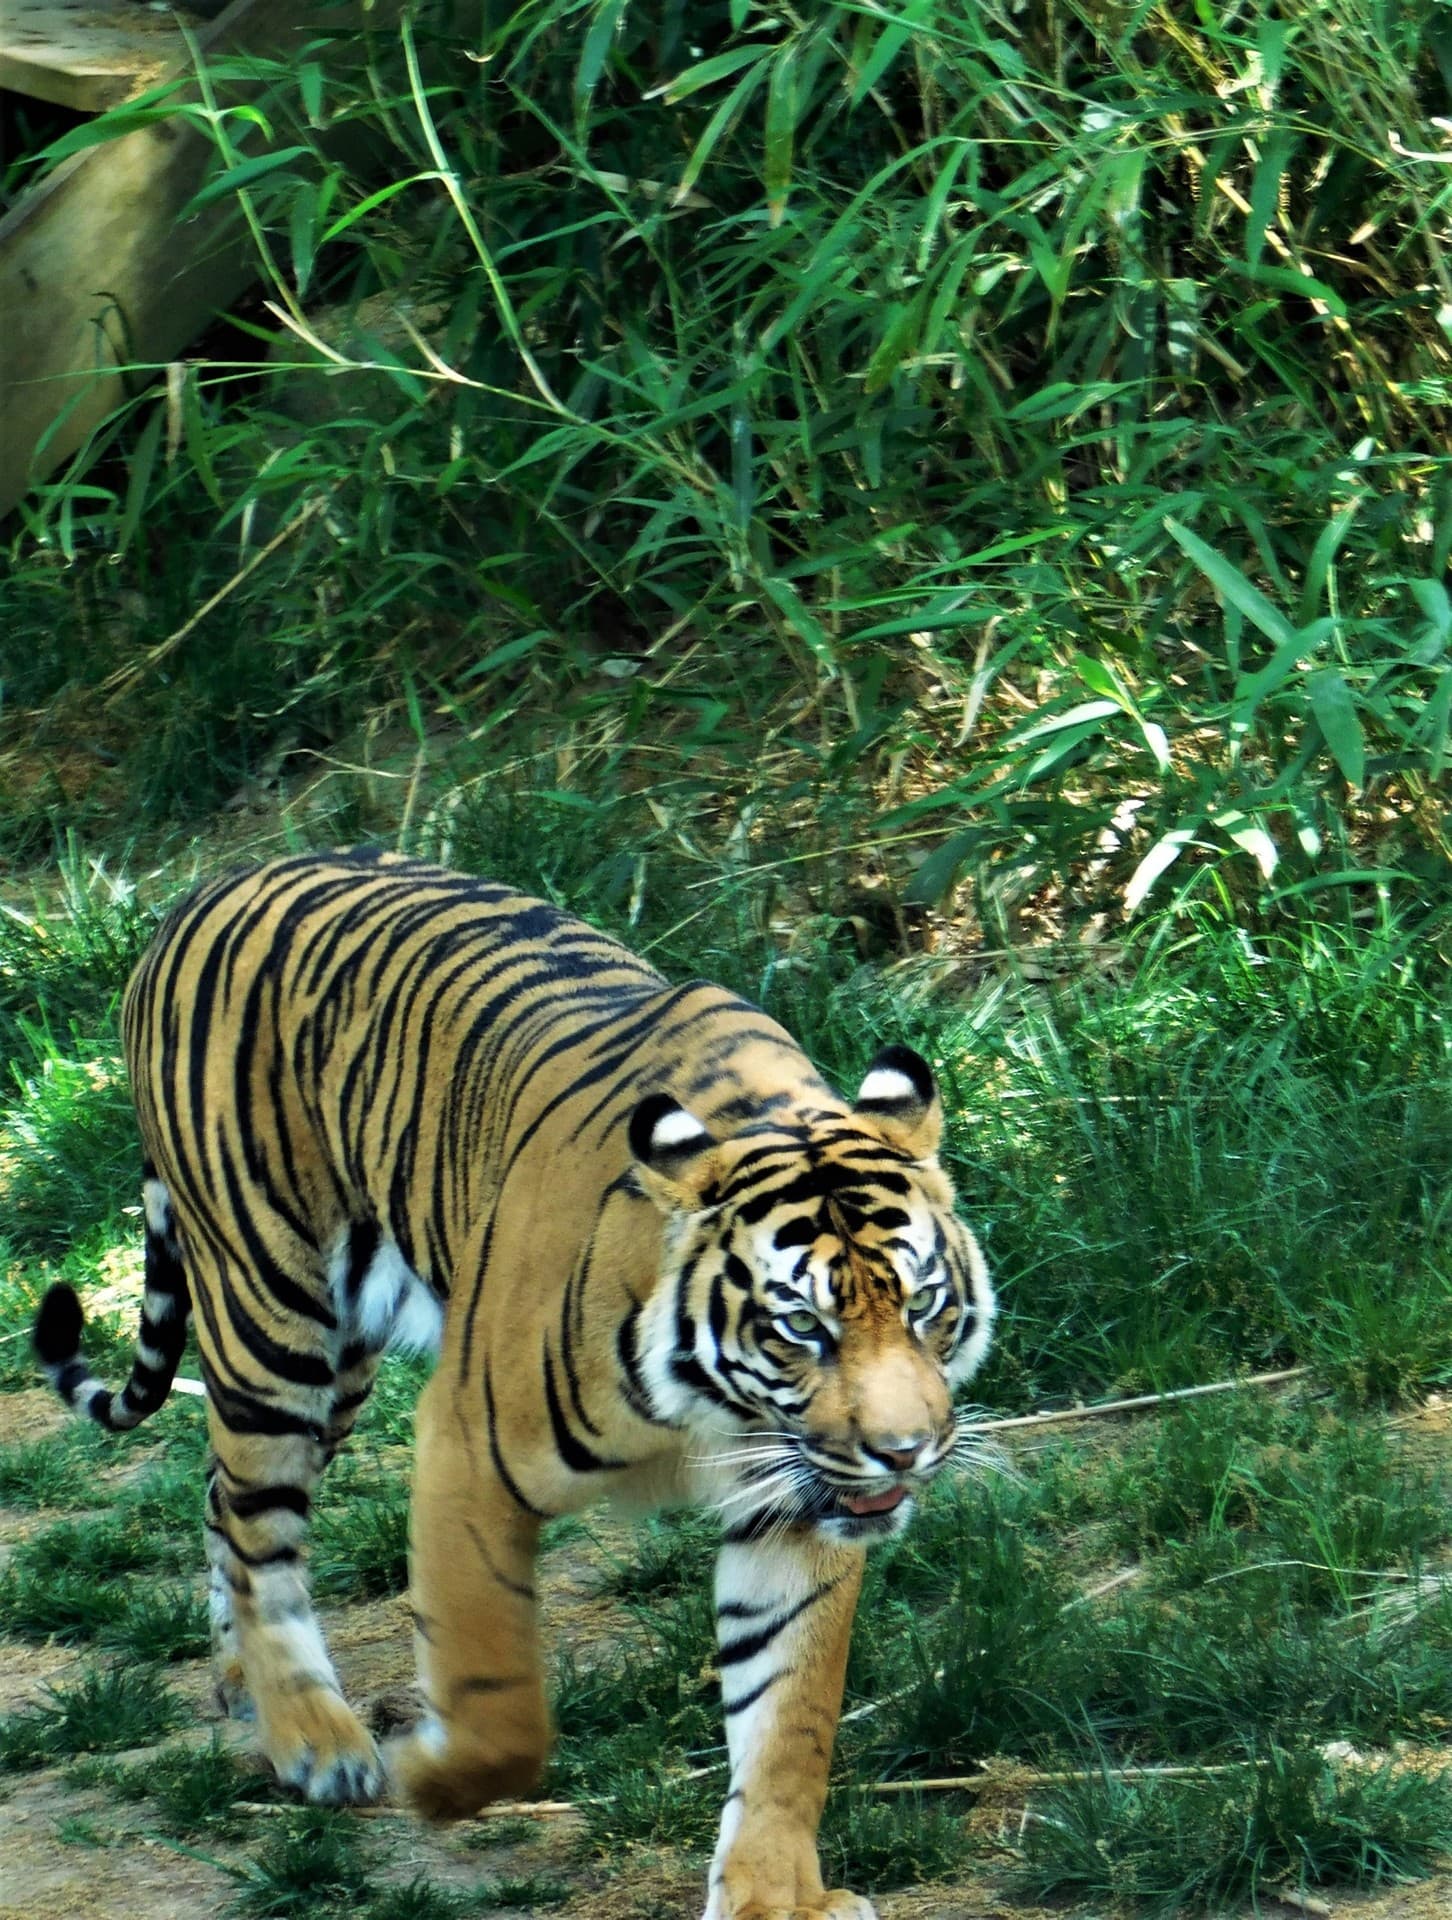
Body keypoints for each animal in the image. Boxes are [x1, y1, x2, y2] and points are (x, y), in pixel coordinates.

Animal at [34, 848, 994, 1920]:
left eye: (923, 1303)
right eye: (802, 1326)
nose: (904, 1452)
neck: (713, 1407)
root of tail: (202, 889)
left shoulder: (795, 1500)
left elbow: (790, 1718)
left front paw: (774, 1897)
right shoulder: (468, 1446)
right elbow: (497, 1691)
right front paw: (436, 1782)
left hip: (338, 1369)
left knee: (220, 1493)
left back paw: (241, 1676)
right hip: (272, 1316)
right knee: (258, 1530)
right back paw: (314, 1739)